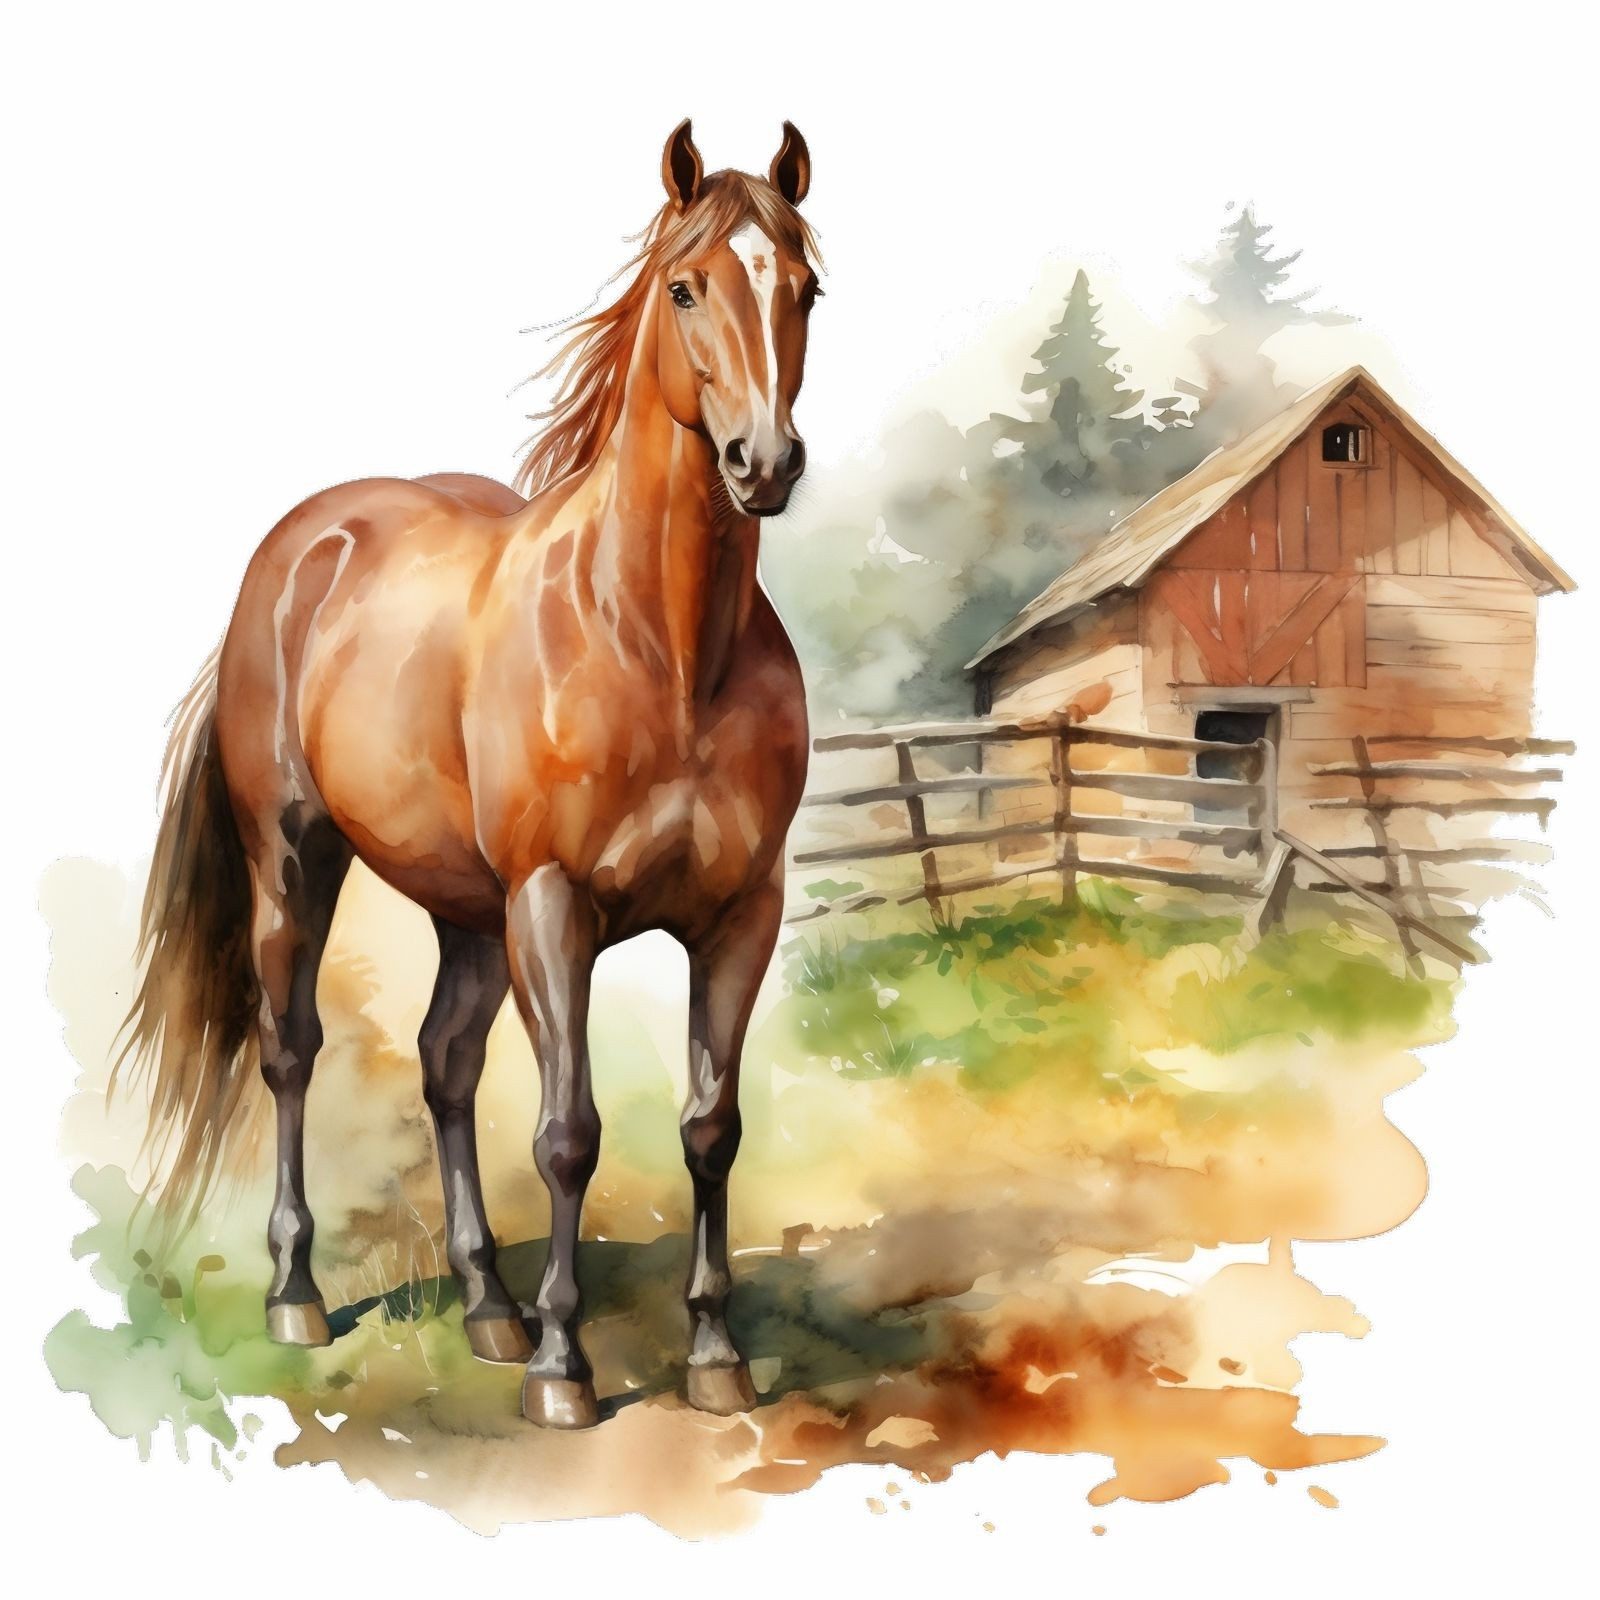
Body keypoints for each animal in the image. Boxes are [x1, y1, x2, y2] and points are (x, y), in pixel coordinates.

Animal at [119, 120, 819, 1429]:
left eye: (804, 287)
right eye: (686, 286)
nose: (764, 460)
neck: (661, 645)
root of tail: (301, 548)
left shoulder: (740, 913)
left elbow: (711, 1128)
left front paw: (712, 1355)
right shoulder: (554, 906)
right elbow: (566, 1133)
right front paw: (564, 1368)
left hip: (471, 915)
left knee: (446, 1070)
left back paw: (488, 1304)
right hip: (299, 864)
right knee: (289, 1050)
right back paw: (300, 1294)